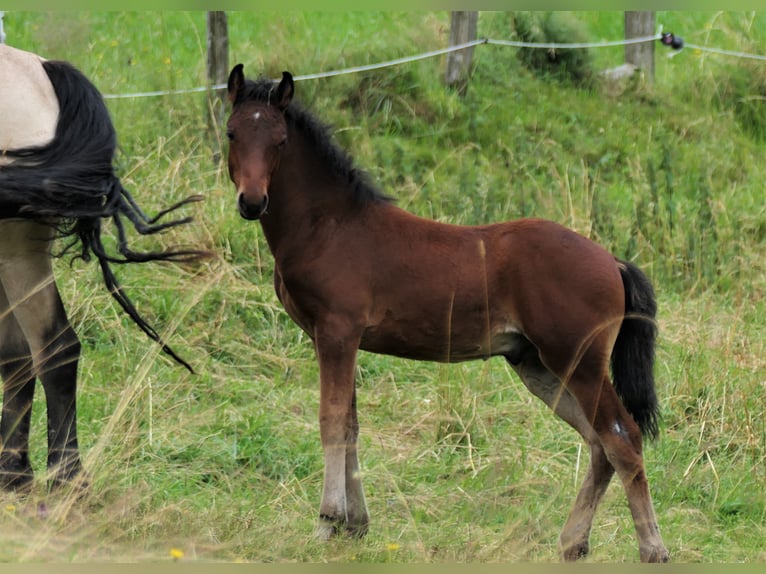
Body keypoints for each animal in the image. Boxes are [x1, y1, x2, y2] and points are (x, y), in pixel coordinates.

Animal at [0, 45, 207, 492]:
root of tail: (42, 70)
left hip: (17, 248)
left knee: (54, 347)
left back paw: (66, 480)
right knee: (21, 355)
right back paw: (15, 476)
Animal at [225, 65, 668, 564]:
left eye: (280, 140)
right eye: (232, 132)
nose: (252, 202)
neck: (330, 227)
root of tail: (612, 261)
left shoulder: (337, 331)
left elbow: (332, 421)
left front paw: (327, 522)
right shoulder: (338, 339)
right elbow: (352, 423)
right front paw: (356, 526)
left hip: (580, 362)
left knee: (622, 436)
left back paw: (652, 548)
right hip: (537, 364)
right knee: (598, 443)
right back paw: (573, 542)